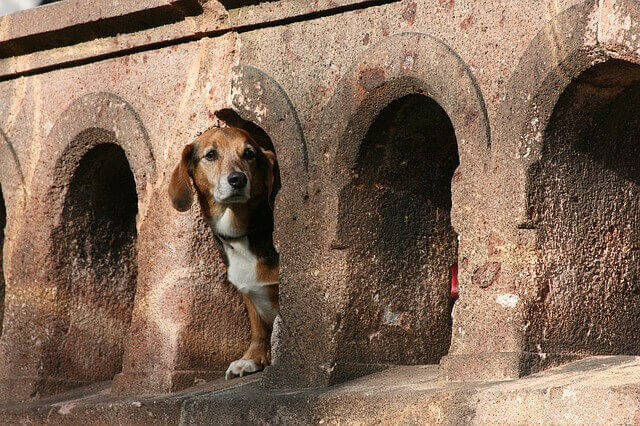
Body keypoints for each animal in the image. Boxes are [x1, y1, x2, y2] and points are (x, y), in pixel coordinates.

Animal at [169, 126, 278, 380]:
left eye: (249, 153)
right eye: (211, 155)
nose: (238, 179)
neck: (241, 234)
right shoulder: (249, 294)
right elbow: (258, 329)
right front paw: (252, 358)